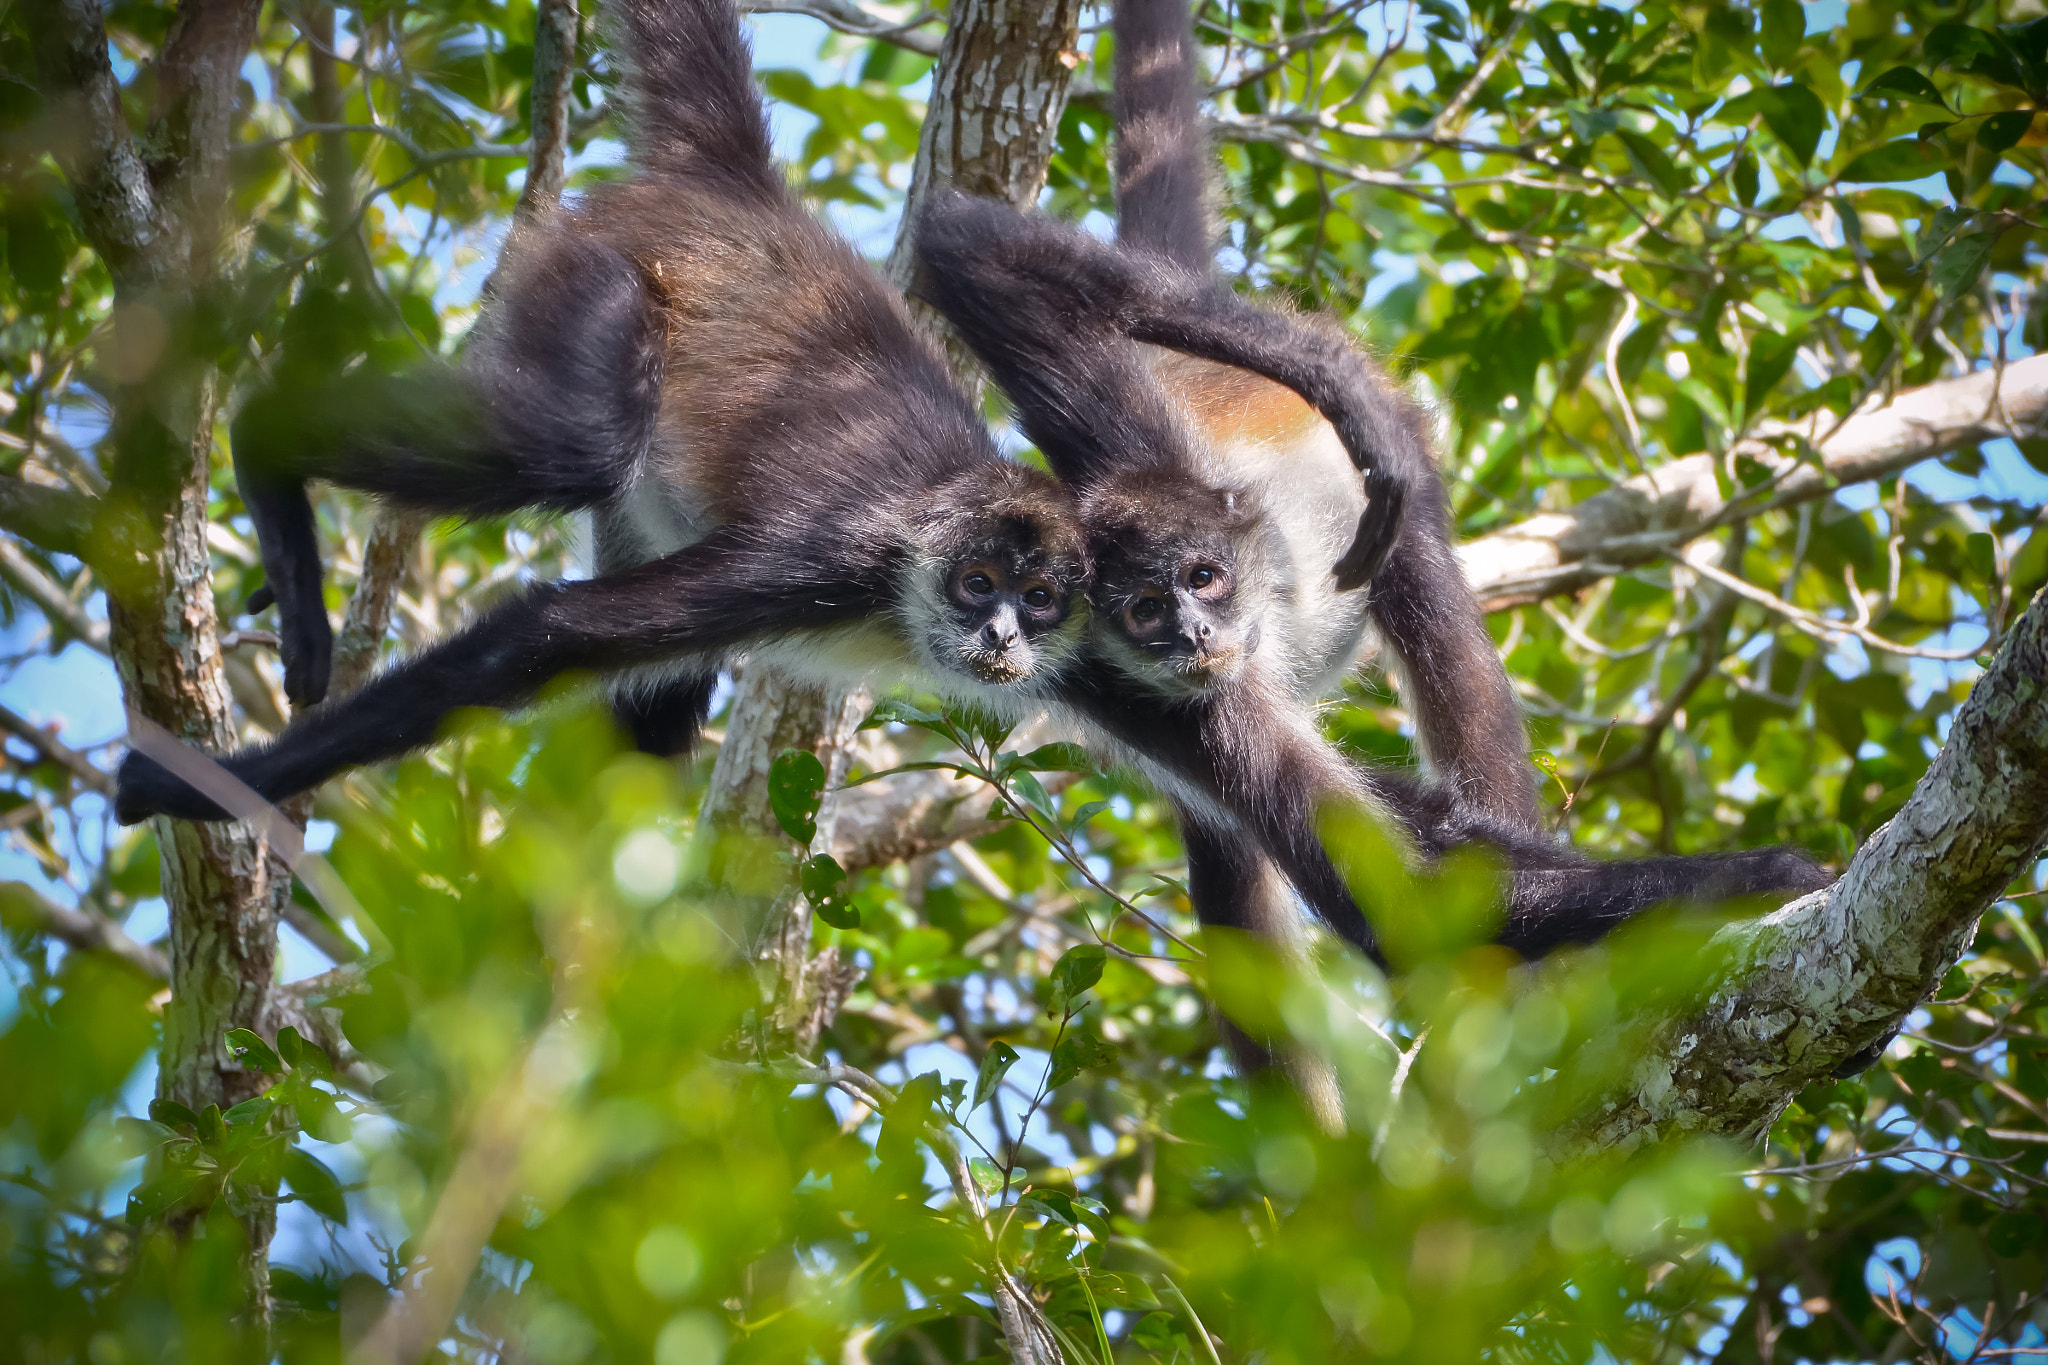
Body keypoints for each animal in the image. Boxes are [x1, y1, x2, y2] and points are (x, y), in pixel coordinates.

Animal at [110, 0, 1089, 822]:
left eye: (1039, 599)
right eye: (977, 584)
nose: (1001, 634)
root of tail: (739, 187)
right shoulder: (833, 558)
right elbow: (542, 637)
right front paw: (201, 787)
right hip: (598, 276)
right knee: (578, 449)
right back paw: (263, 445)